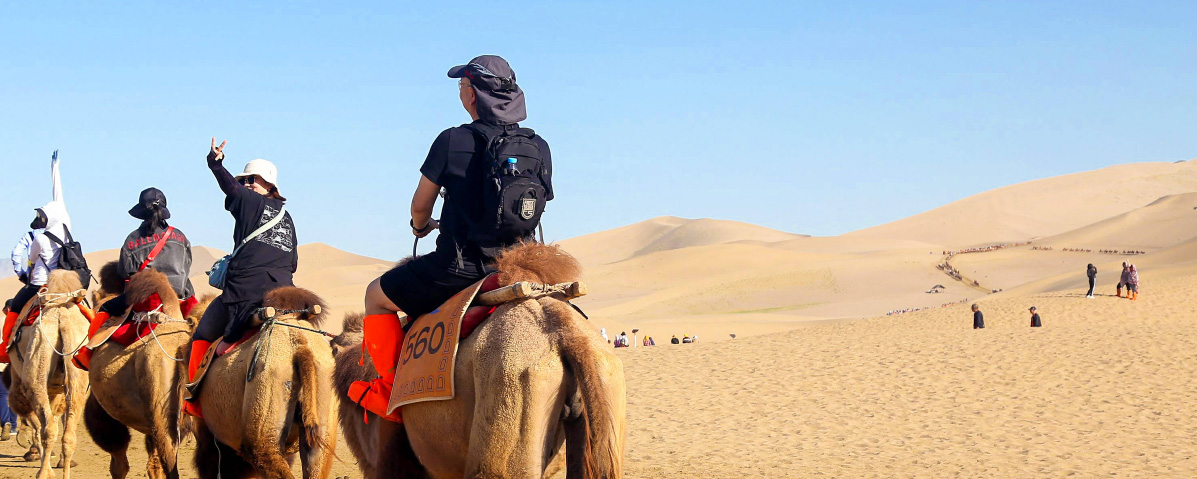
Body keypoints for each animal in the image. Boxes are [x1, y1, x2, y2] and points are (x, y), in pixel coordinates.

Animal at [6, 269, 90, 479]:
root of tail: (61, 315)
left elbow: (37, 424)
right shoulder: (56, 391)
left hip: (36, 370)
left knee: (47, 429)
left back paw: (43, 473)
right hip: (77, 375)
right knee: (67, 435)